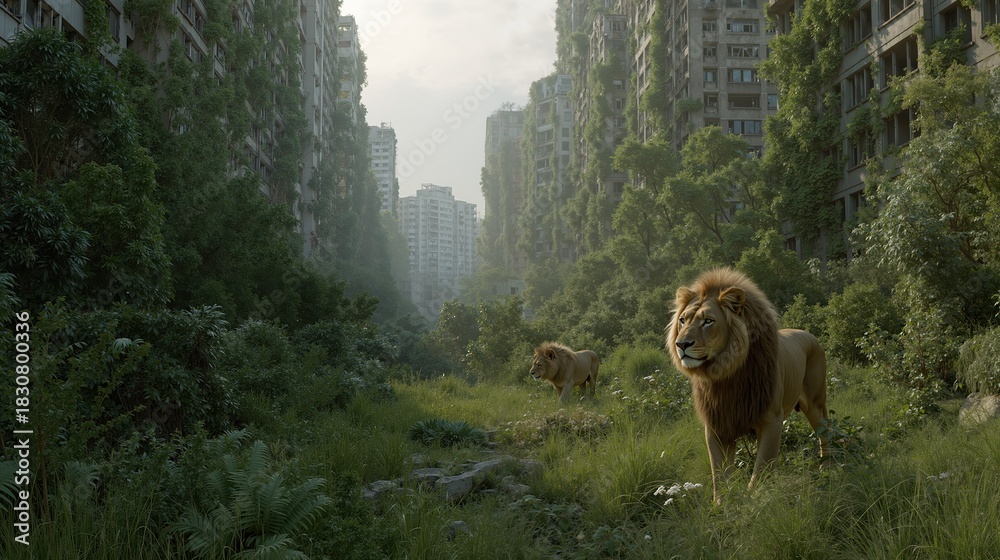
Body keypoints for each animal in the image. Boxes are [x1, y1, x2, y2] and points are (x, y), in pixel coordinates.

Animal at [665, 267, 829, 503]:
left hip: (815, 404)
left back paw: (828, 469)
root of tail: (808, 334)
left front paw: (754, 503)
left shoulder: (771, 419)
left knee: (826, 433)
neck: (725, 375)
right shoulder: (717, 425)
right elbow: (719, 476)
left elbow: (760, 470)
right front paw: (722, 506)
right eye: (682, 320)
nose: (681, 344)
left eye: (708, 321)